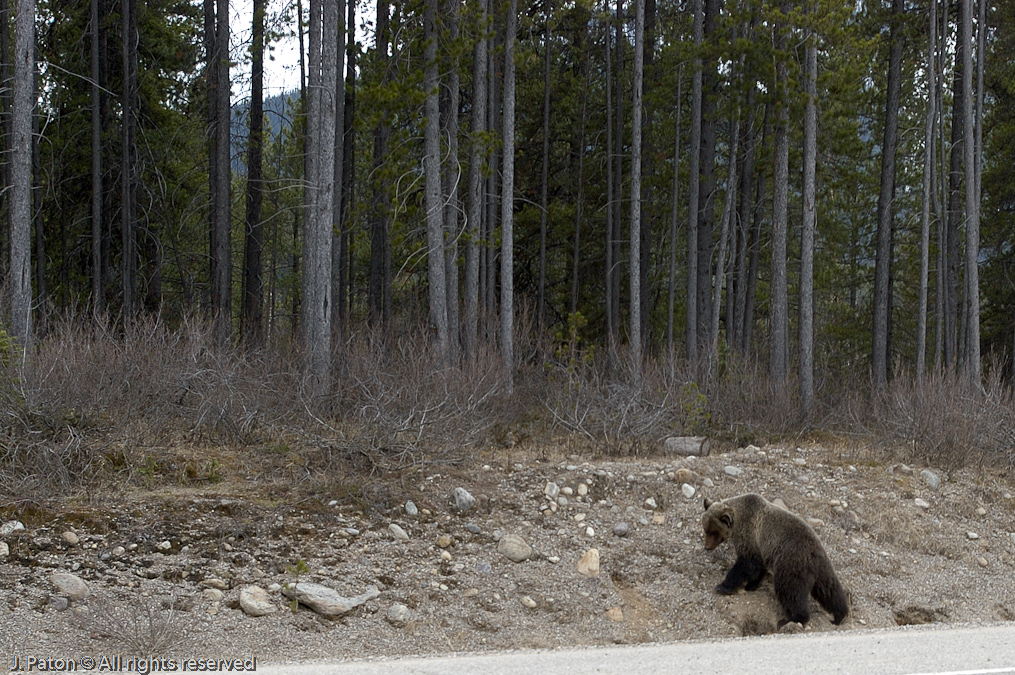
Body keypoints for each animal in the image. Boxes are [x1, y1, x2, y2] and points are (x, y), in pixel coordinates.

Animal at [702, 493, 849, 627]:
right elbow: (758, 567)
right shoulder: (761, 547)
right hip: (821, 567)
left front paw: (722, 586)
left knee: (789, 590)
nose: (707, 547)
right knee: (829, 590)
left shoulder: (749, 534)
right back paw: (839, 615)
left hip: (791, 562)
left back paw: (792, 619)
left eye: (714, 532)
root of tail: (813, 551)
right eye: (705, 529)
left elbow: (747, 563)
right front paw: (751, 585)